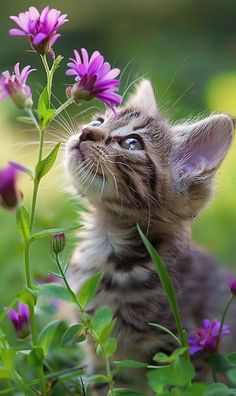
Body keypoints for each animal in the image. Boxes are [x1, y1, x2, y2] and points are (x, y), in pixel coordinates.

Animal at [64, 79, 234, 392]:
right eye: (98, 121)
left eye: (132, 143)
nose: (85, 132)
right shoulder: (101, 351)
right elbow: (104, 385)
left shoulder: (182, 346)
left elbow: (177, 384)